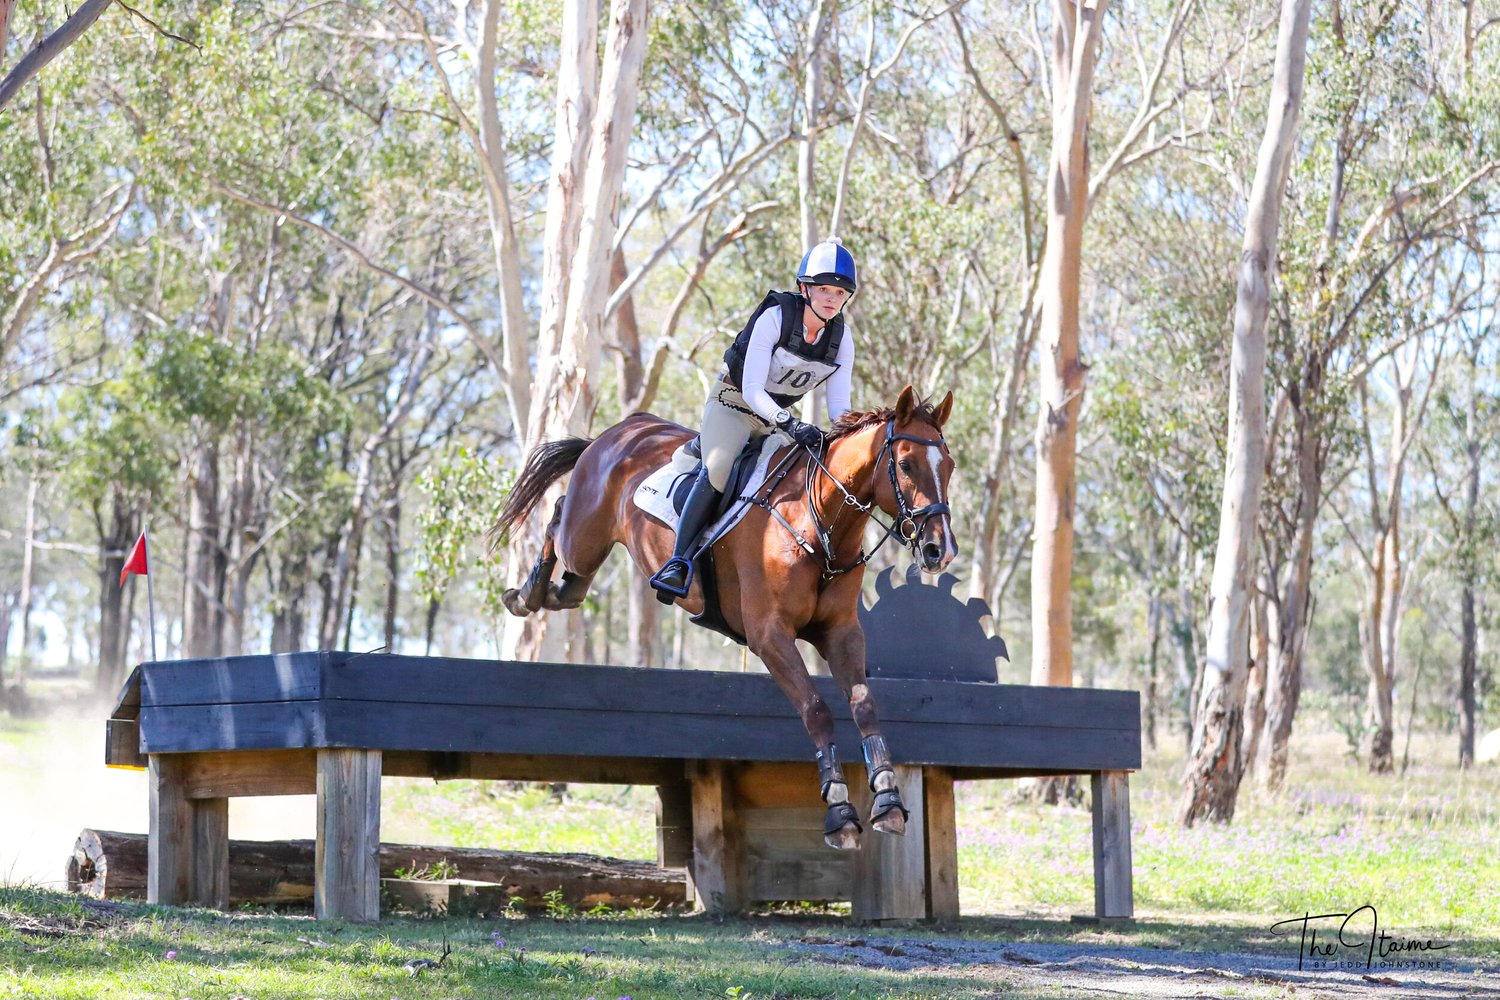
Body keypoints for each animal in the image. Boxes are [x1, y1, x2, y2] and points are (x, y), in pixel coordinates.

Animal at [493, 385, 957, 850]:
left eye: (949, 467)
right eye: (905, 464)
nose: (941, 551)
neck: (819, 522)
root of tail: (617, 432)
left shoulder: (840, 633)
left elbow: (864, 706)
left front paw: (889, 802)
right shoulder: (769, 635)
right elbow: (816, 710)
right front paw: (840, 812)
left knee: (570, 587)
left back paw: (553, 592)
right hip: (584, 537)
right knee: (555, 519)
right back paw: (524, 595)